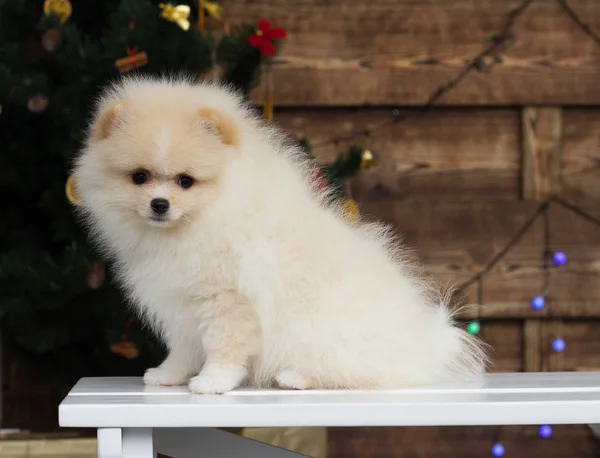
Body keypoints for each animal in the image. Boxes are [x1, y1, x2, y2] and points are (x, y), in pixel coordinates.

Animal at [72, 75, 490, 394]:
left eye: (185, 181)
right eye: (139, 177)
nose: (159, 204)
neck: (210, 214)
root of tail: (426, 345)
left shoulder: (227, 300)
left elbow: (223, 346)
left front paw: (213, 382)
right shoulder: (181, 305)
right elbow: (183, 348)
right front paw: (169, 375)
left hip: (326, 332)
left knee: (354, 371)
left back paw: (295, 376)